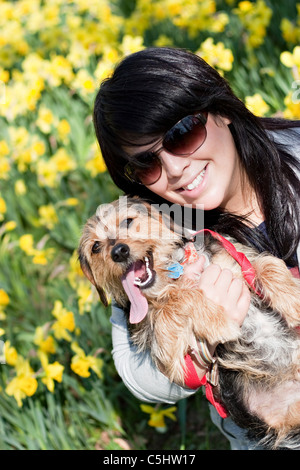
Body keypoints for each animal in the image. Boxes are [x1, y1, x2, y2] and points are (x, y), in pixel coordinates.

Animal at [78, 196, 300, 450]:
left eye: (127, 221)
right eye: (95, 247)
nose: (119, 252)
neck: (174, 273)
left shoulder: (234, 258)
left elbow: (265, 264)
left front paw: (293, 301)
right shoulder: (165, 352)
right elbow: (176, 299)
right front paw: (217, 319)